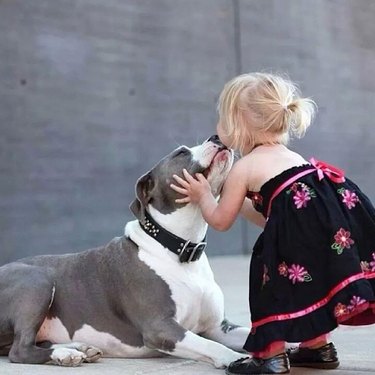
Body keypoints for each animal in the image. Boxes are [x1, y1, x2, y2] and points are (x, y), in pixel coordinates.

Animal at [0, 135, 253, 368]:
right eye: (181, 153)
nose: (216, 136)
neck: (178, 249)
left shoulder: (218, 327)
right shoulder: (160, 327)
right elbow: (210, 345)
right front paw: (235, 358)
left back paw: (79, 348)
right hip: (36, 280)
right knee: (20, 350)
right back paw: (65, 354)